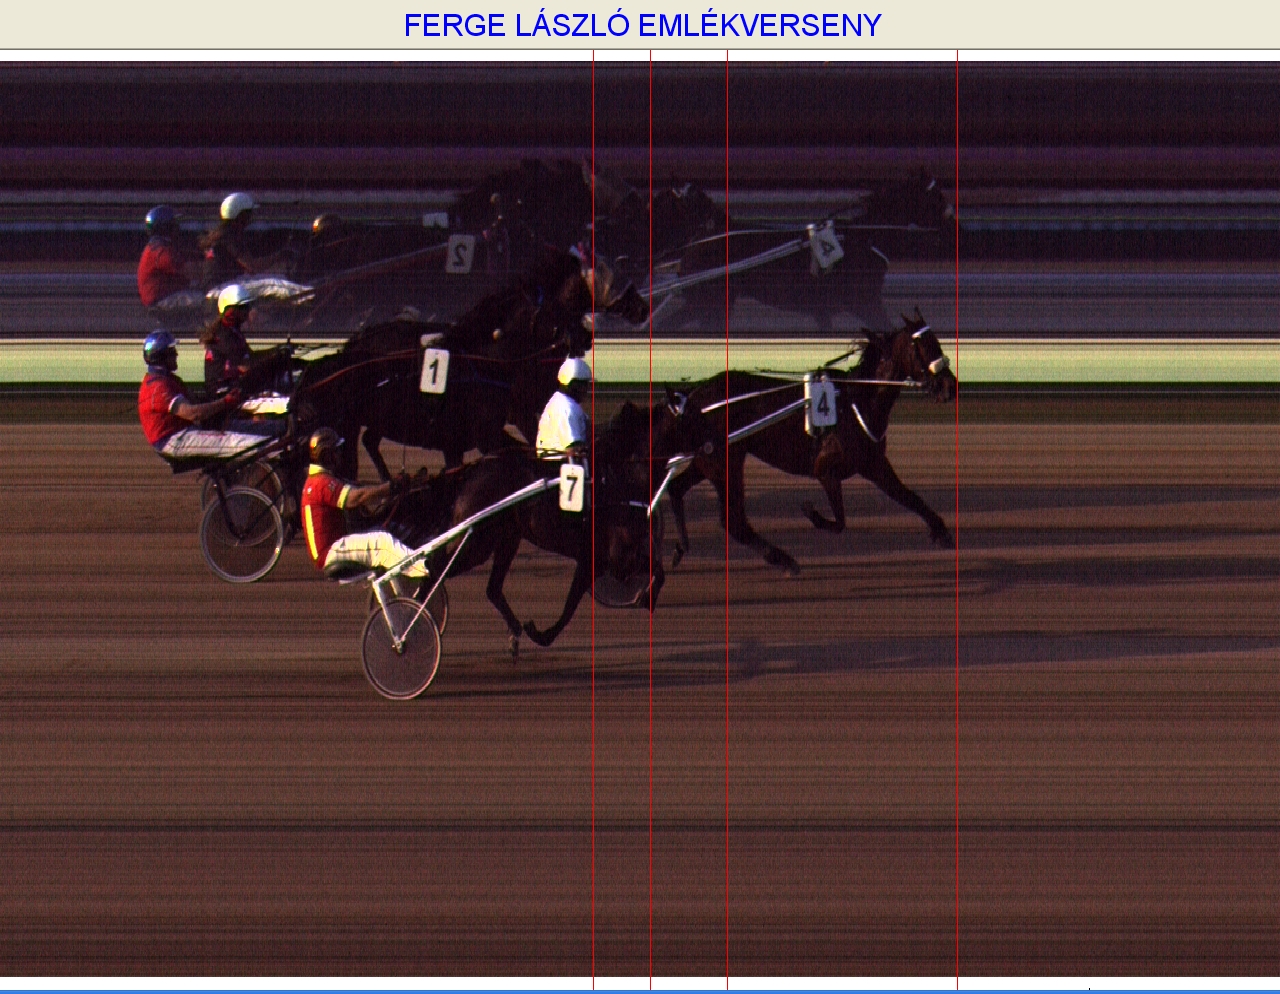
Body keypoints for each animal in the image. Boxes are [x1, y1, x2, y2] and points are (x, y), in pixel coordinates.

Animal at [665, 309, 957, 574]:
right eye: (920, 346)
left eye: (936, 341)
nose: (950, 387)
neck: (856, 401)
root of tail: (694, 396)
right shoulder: (825, 470)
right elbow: (839, 521)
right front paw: (811, 513)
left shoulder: (873, 464)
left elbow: (910, 497)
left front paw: (941, 531)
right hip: (725, 462)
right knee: (733, 521)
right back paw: (782, 559)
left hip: (708, 460)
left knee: (677, 488)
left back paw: (680, 548)